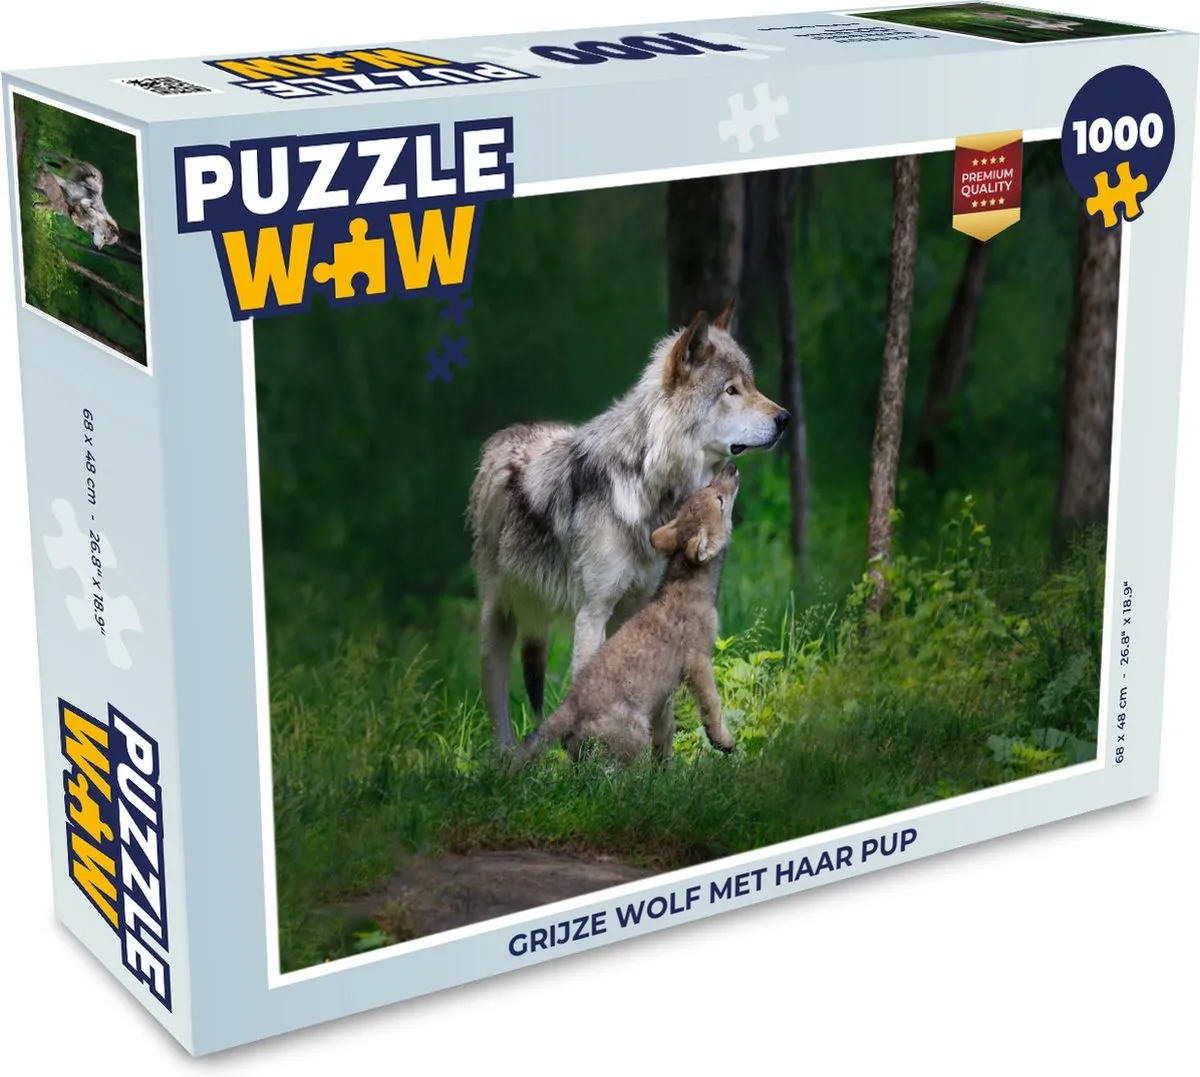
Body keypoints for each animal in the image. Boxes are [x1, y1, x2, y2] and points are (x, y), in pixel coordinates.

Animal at [510, 464, 742, 771]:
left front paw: (667, 768)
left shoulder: (665, 694)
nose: (731, 467)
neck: (689, 584)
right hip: (634, 733)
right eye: (719, 500)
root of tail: (571, 703)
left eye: (709, 490)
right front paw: (723, 742)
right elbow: (712, 706)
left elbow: (666, 730)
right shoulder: (698, 661)